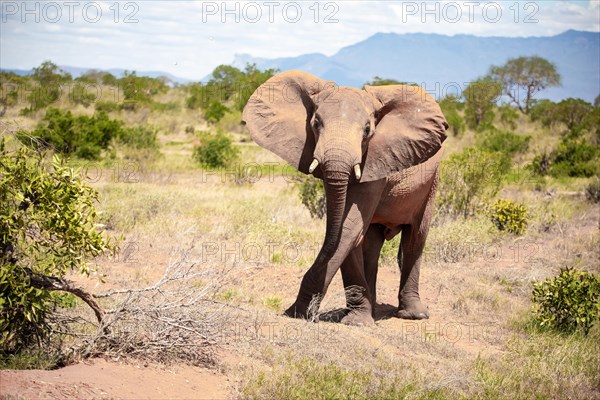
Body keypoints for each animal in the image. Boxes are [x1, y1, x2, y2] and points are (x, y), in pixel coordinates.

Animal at [241, 69, 448, 324]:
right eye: (315, 123)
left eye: (368, 130)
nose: (298, 312)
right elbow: (347, 231)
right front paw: (352, 318)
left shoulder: (375, 159)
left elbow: (349, 227)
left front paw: (305, 313)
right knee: (371, 244)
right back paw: (373, 309)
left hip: (431, 183)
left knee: (416, 237)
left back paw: (414, 315)